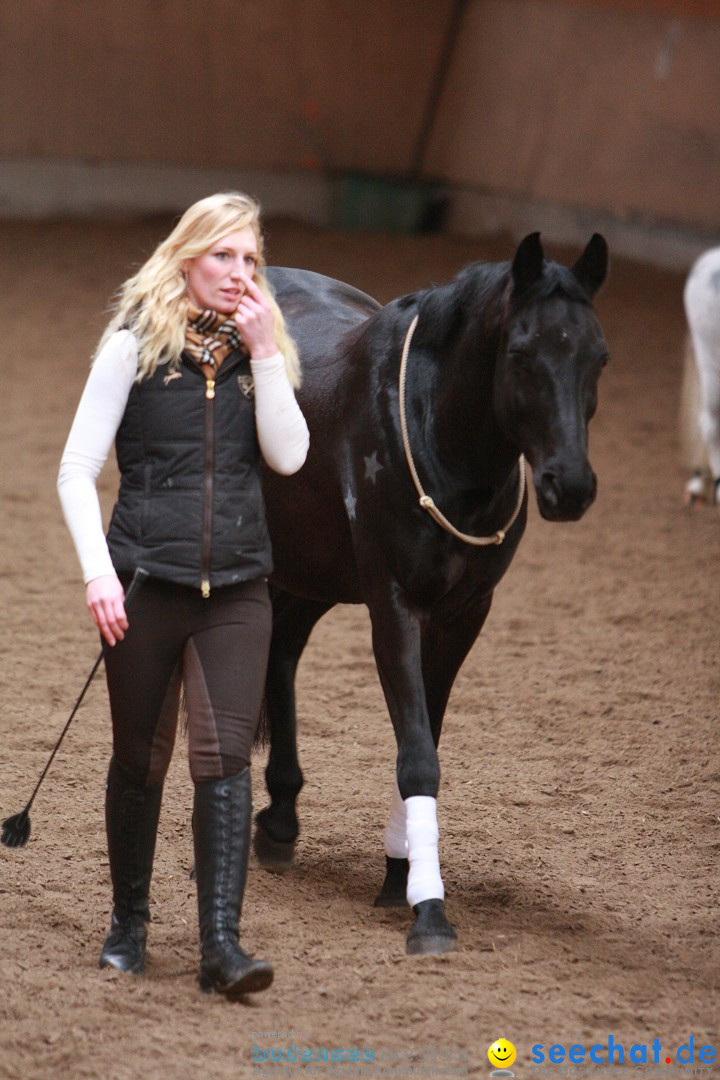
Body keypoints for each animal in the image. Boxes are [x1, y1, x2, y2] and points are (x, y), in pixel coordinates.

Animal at [257, 234, 608, 954]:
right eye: (521, 354)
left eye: (599, 356)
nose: (570, 486)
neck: (436, 433)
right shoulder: (394, 607)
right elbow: (418, 755)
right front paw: (430, 911)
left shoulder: (462, 614)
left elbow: (426, 738)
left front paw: (401, 873)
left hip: (313, 575)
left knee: (281, 655)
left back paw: (279, 814)